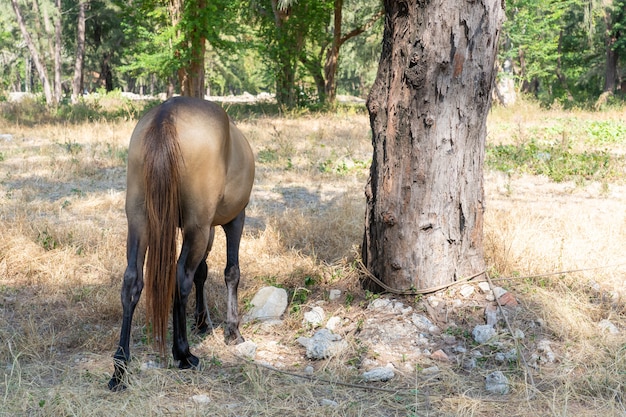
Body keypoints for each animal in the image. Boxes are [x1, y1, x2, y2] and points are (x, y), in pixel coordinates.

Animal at [107, 96, 254, 390]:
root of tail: (167, 114)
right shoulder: (233, 220)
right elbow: (230, 272)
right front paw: (232, 330)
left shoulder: (205, 228)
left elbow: (203, 272)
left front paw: (202, 321)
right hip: (196, 226)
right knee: (181, 277)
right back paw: (183, 353)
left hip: (140, 220)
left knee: (132, 281)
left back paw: (120, 367)